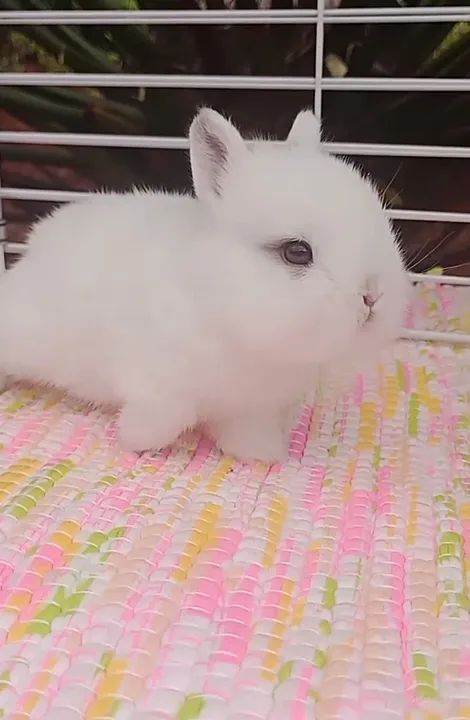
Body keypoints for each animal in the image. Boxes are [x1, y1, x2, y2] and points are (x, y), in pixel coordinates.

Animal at [0, 107, 409, 462]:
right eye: (296, 252)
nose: (373, 295)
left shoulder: (250, 408)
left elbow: (247, 433)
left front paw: (264, 455)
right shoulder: (159, 385)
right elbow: (164, 418)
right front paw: (135, 442)